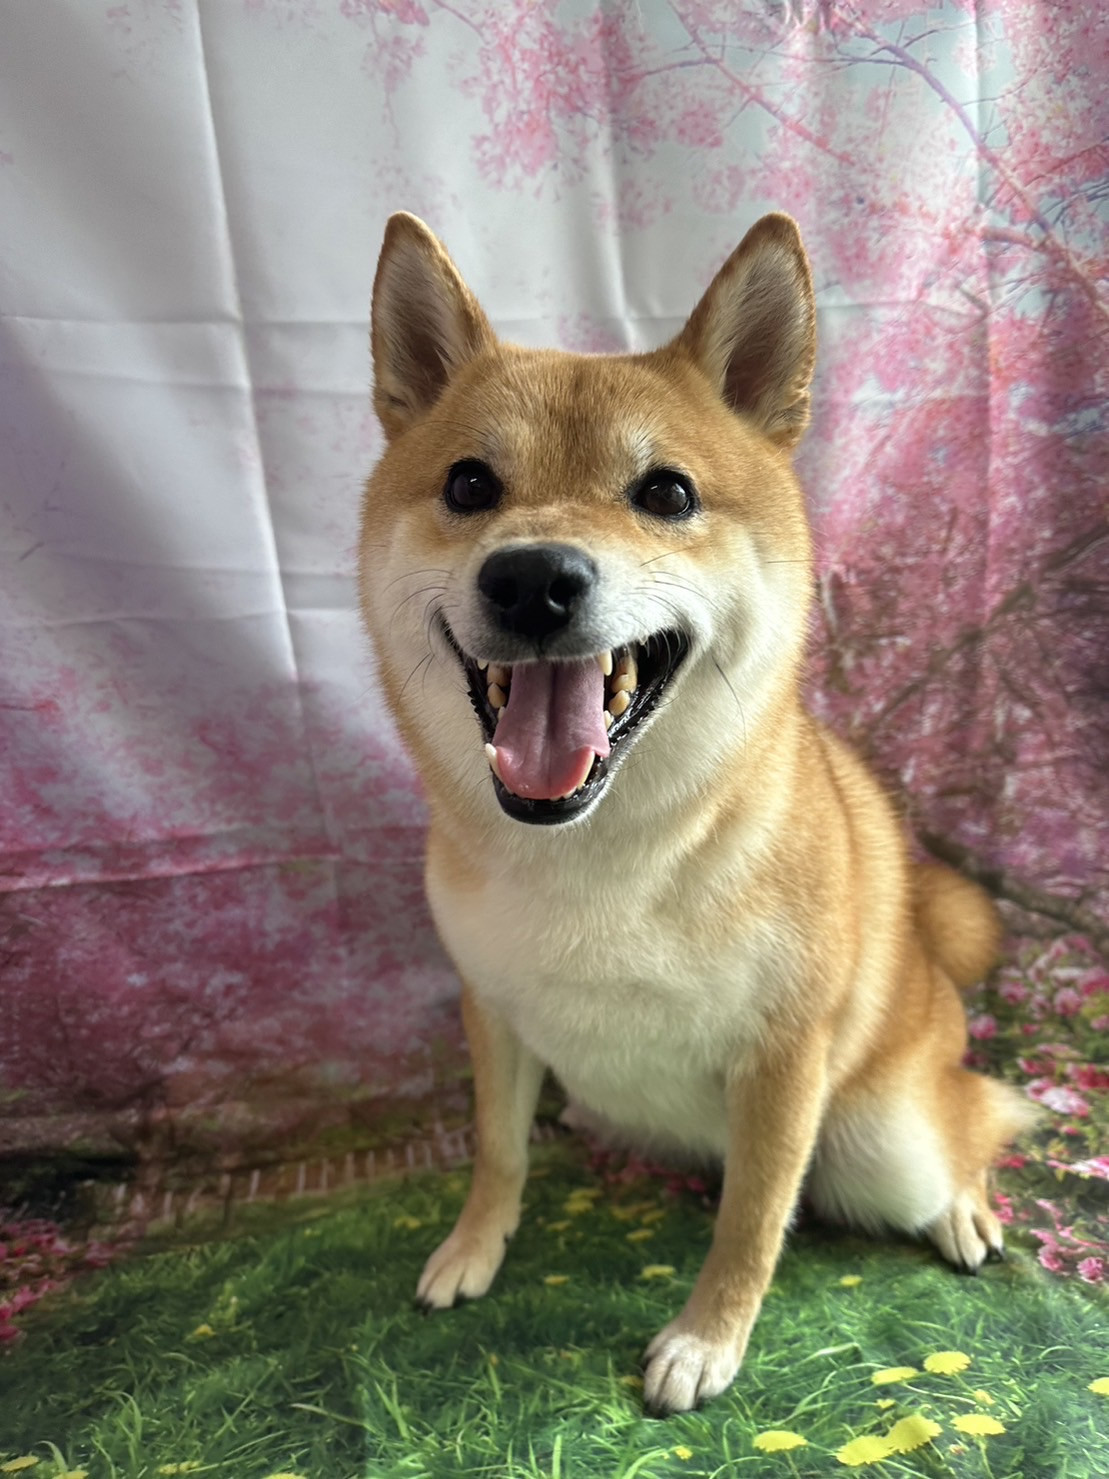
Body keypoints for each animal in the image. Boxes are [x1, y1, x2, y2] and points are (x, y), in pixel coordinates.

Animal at [358, 211, 1034, 1414]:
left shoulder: (783, 1054)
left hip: (889, 1130)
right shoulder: (491, 1007)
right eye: (470, 484)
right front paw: (473, 1248)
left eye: (666, 495)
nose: (532, 578)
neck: (600, 854)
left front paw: (706, 1339)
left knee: (972, 1121)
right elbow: (497, 1149)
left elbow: (753, 1217)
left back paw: (962, 1206)